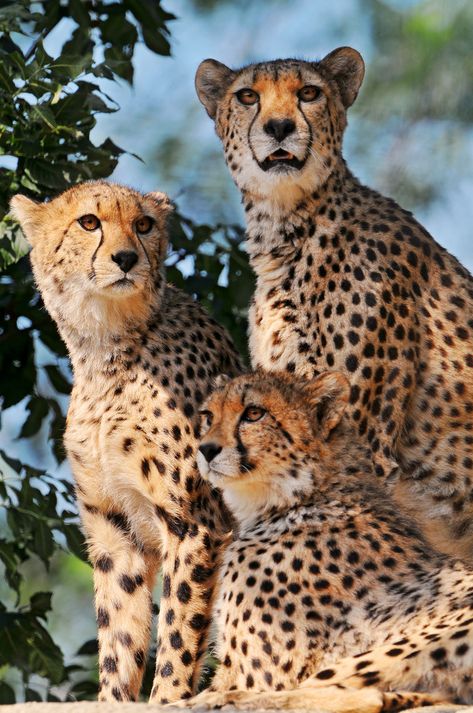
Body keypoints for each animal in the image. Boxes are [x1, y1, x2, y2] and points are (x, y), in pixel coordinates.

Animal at [10, 182, 240, 700]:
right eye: (89, 222)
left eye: (144, 225)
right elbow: (119, 635)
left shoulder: (194, 523)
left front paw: (168, 698)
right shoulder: (117, 534)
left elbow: (178, 629)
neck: (106, 350)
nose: (126, 258)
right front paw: (113, 697)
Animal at [181, 370, 472, 708]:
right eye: (208, 416)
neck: (301, 498)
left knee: (365, 696)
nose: (205, 449)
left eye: (254, 413)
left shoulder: (262, 675)